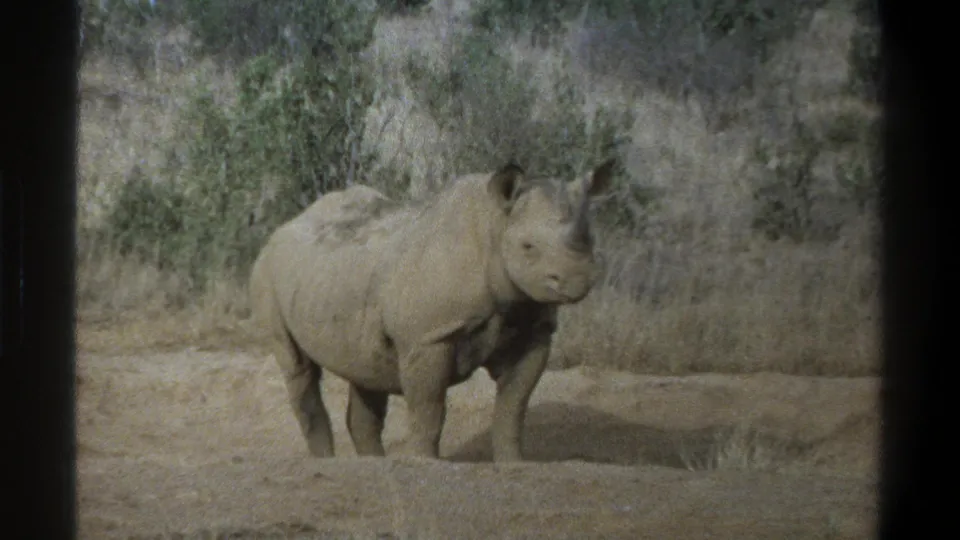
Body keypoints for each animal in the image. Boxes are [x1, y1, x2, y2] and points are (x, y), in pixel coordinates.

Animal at [248, 159, 615, 462]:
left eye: (590, 238)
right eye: (528, 247)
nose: (577, 279)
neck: (495, 226)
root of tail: (285, 225)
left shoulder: (533, 329)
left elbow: (513, 406)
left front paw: (514, 464)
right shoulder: (429, 337)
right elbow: (429, 408)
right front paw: (425, 462)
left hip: (336, 276)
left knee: (364, 369)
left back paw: (373, 464)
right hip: (268, 271)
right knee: (298, 366)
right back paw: (326, 461)